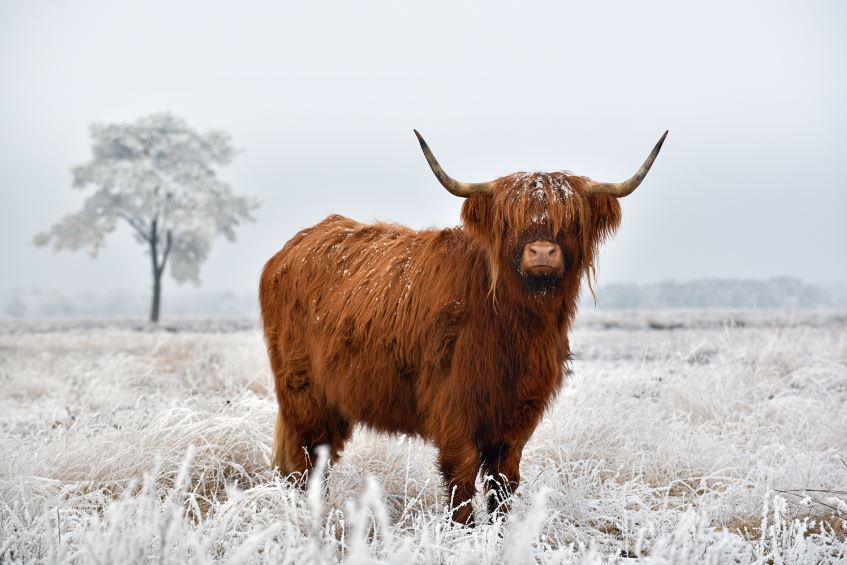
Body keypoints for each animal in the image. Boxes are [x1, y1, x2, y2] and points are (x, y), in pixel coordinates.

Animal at [259, 130, 668, 525]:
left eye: (571, 220)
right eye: (510, 221)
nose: (541, 252)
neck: (515, 327)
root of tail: (293, 247)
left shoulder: (517, 416)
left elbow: (504, 483)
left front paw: (501, 532)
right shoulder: (454, 407)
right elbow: (462, 479)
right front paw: (464, 533)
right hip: (303, 394)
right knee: (304, 461)